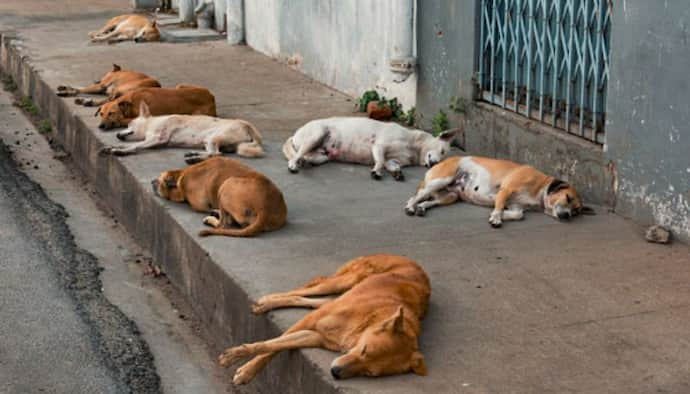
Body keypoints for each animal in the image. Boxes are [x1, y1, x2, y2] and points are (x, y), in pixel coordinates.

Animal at [98, 103, 264, 163]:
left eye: (129, 124)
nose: (117, 134)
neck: (152, 123)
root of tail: (247, 126)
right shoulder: (154, 142)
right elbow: (134, 145)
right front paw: (110, 147)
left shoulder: (158, 138)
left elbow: (135, 146)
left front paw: (120, 151)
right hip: (210, 141)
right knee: (216, 153)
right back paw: (195, 155)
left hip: (213, 137)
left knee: (217, 154)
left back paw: (195, 158)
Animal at [152, 157, 286, 237]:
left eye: (160, 181)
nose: (151, 181)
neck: (182, 175)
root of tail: (265, 209)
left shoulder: (199, 205)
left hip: (226, 185)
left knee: (224, 225)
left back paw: (212, 219)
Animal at [218, 252, 428, 384]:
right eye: (364, 350)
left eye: (369, 372)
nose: (335, 373)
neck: (366, 322)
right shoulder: (310, 321)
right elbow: (269, 347)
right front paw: (242, 366)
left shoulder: (316, 336)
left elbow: (277, 346)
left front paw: (244, 367)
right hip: (344, 282)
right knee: (305, 290)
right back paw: (266, 301)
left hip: (341, 293)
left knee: (310, 300)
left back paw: (267, 303)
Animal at [282, 115, 454, 180]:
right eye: (442, 151)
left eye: (443, 158)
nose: (434, 163)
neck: (414, 146)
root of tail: (295, 134)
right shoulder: (379, 146)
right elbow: (380, 161)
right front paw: (376, 171)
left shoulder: (392, 160)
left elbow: (391, 165)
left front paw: (397, 173)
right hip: (318, 133)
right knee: (296, 155)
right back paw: (294, 165)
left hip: (322, 156)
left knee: (306, 156)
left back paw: (303, 162)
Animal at [404, 155, 592, 226]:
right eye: (567, 198)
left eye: (576, 211)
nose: (567, 216)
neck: (540, 189)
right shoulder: (506, 190)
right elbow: (499, 206)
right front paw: (496, 217)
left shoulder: (516, 206)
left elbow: (517, 215)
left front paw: (501, 216)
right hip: (441, 180)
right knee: (416, 196)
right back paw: (411, 207)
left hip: (450, 195)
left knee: (429, 200)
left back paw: (421, 208)